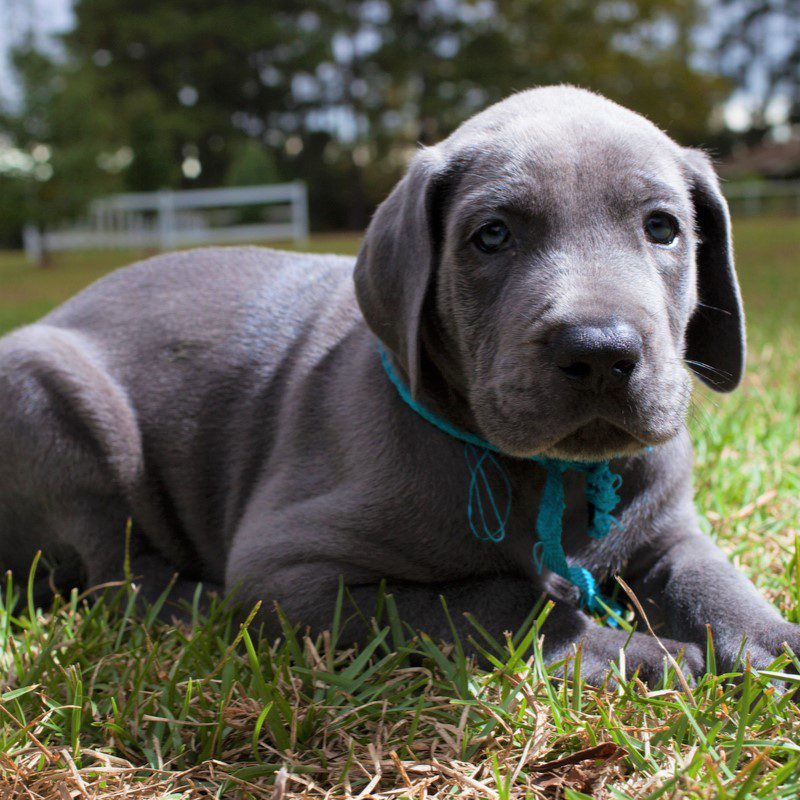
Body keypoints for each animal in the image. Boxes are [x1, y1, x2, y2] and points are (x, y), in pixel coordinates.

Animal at [1, 89, 800, 688]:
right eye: (492, 235)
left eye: (663, 228)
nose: (600, 351)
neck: (554, 478)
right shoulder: (289, 571)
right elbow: (495, 600)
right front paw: (636, 652)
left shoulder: (669, 531)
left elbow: (712, 581)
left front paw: (774, 643)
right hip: (57, 405)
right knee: (118, 576)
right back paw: (194, 605)